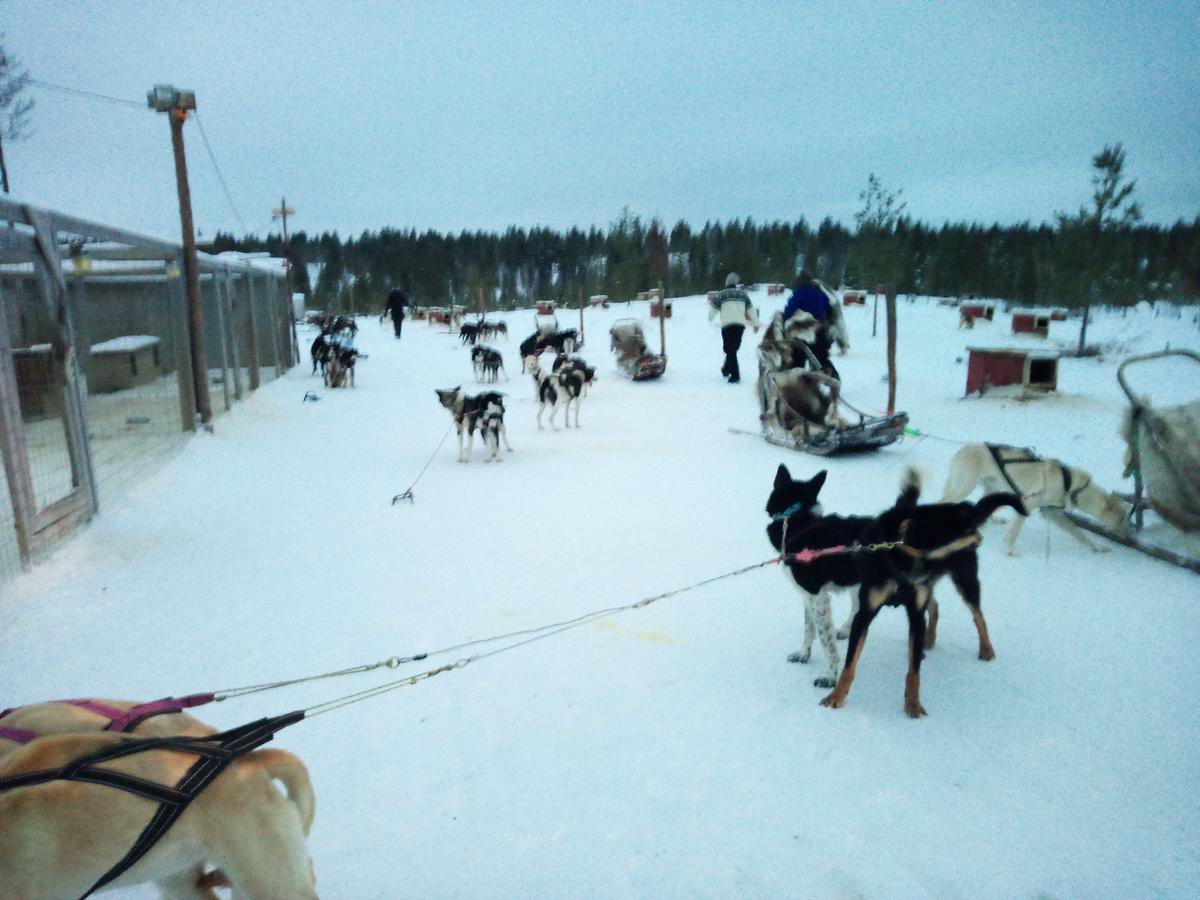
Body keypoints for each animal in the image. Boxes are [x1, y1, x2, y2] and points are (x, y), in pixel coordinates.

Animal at [768, 465, 1022, 720]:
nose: (976, 538)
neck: (798, 521)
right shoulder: (809, 595)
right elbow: (809, 628)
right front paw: (803, 654)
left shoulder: (817, 596)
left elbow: (825, 639)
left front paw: (829, 676)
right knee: (934, 606)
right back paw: (927, 641)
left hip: (964, 579)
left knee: (978, 615)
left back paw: (986, 649)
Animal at [940, 441, 1128, 554]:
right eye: (1121, 519)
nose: (1126, 534)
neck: (1073, 486)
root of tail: (964, 448)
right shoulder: (1027, 504)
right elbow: (1014, 533)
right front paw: (1009, 549)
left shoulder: (1052, 513)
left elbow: (1078, 532)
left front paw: (1097, 546)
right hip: (964, 487)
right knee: (943, 502)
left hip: (992, 489)